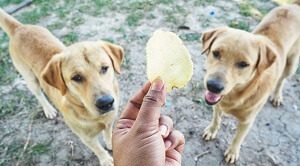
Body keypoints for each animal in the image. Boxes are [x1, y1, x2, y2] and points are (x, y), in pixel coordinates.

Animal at [0, 8, 123, 166]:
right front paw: (106, 159)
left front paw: (112, 143)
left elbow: (108, 133)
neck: (89, 114)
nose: (106, 102)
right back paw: (48, 109)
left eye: (104, 68)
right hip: (29, 78)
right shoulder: (86, 137)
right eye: (76, 77)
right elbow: (97, 148)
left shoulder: (109, 121)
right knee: (38, 94)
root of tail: (19, 28)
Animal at [200, 0, 300, 164]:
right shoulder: (217, 104)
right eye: (216, 53)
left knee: (282, 80)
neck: (237, 94)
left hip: (291, 65)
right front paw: (212, 130)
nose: (213, 86)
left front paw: (232, 152)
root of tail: (294, 6)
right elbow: (216, 118)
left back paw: (277, 96)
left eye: (243, 64)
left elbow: (238, 138)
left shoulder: (247, 121)